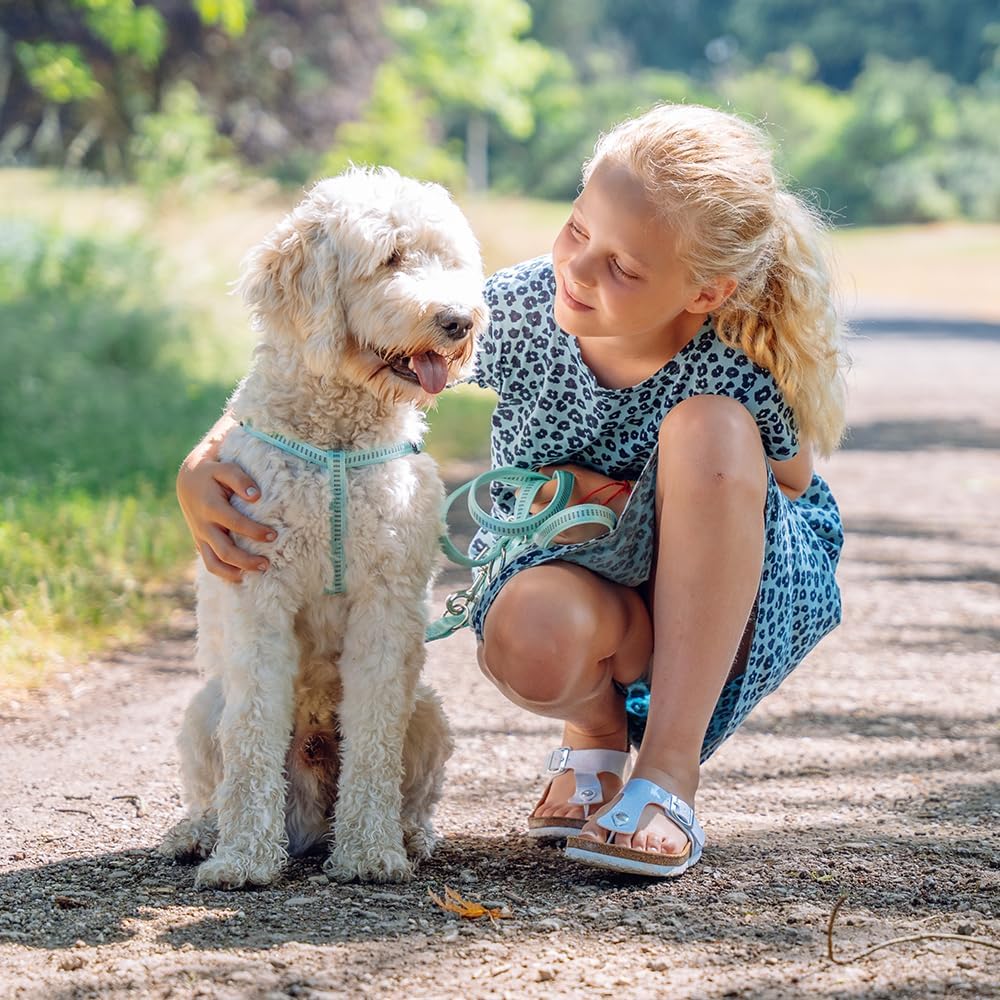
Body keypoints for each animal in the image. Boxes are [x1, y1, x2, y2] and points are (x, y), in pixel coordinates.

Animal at [161, 168, 488, 888]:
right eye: (391, 258)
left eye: (448, 260)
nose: (458, 321)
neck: (337, 439)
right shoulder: (260, 596)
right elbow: (253, 738)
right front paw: (244, 859)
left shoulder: (388, 608)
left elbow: (373, 741)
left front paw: (369, 852)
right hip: (201, 710)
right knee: (213, 781)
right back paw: (200, 832)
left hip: (428, 710)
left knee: (412, 788)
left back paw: (407, 833)